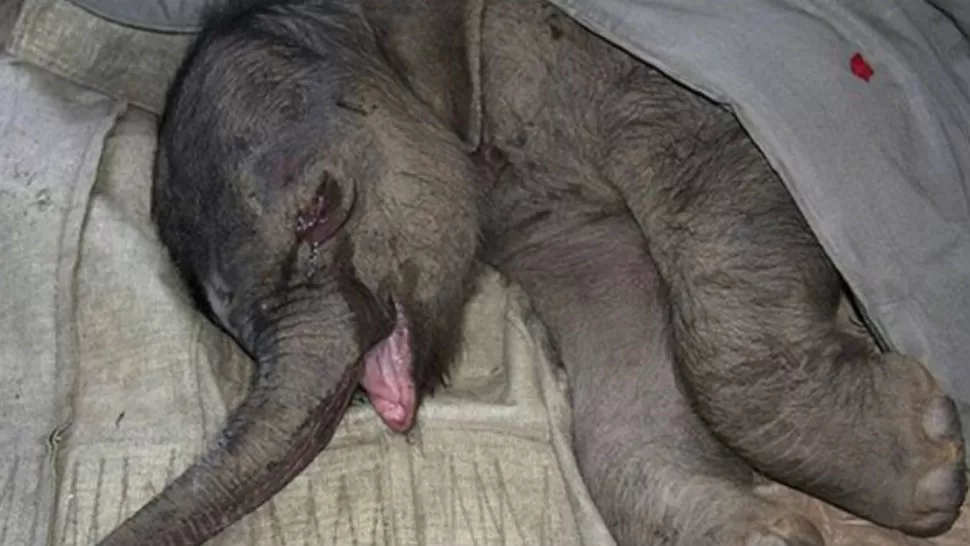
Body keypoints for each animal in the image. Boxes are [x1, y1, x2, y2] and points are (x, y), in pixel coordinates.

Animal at [98, 0, 967, 544]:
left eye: (320, 207)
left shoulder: (619, 69)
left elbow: (714, 178)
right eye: (232, 328)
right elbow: (619, 316)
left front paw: (933, 466)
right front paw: (766, 534)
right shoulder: (544, 222)